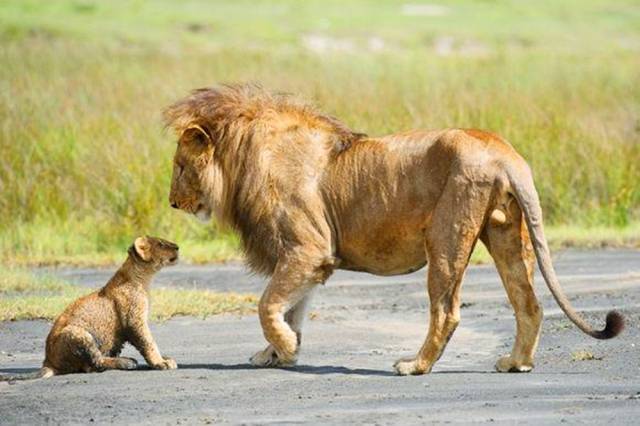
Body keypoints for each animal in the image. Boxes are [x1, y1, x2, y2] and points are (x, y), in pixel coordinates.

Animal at [162, 84, 624, 376]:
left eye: (180, 168)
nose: (171, 203)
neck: (243, 157)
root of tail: (503, 150)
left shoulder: (307, 249)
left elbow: (267, 304)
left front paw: (286, 349)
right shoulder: (310, 260)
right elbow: (290, 308)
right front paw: (274, 352)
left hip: (446, 239)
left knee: (447, 311)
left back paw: (415, 366)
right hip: (508, 235)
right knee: (528, 303)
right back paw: (516, 363)